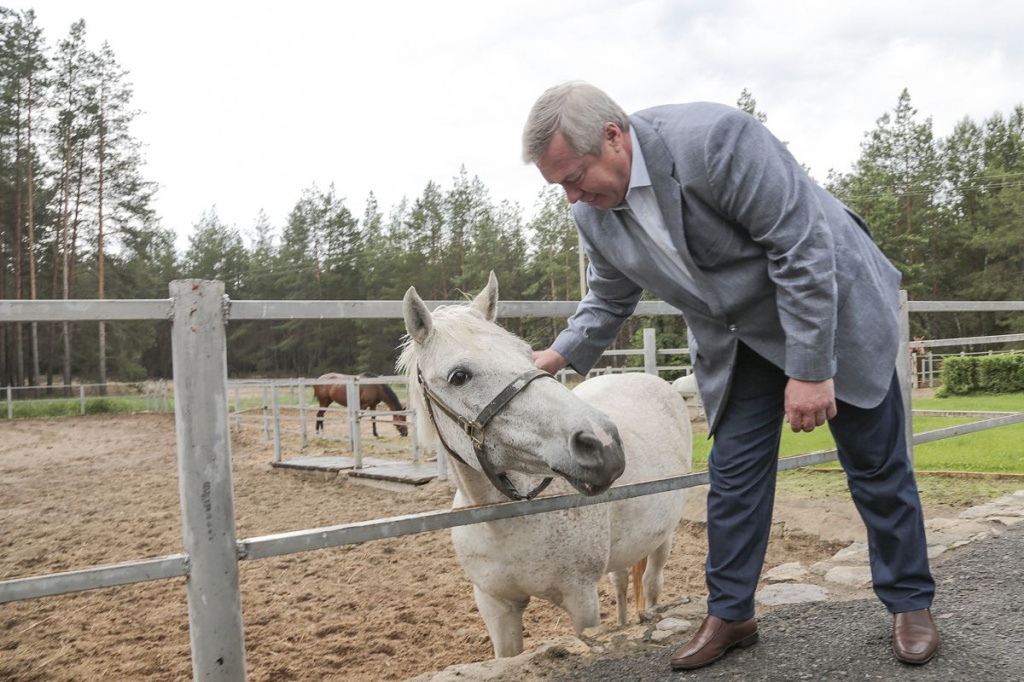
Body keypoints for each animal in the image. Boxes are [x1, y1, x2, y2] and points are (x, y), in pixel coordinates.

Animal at [395, 274, 692, 655]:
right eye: (459, 376)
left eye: (527, 355)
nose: (602, 443)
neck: (505, 525)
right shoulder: (496, 606)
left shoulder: (582, 600)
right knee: (622, 582)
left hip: (662, 539)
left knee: (653, 585)